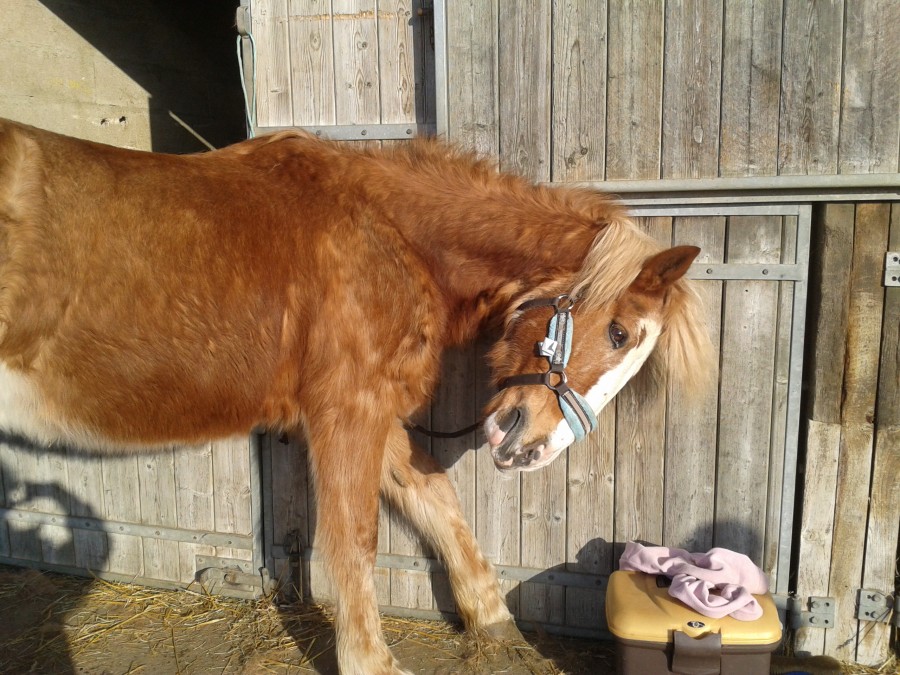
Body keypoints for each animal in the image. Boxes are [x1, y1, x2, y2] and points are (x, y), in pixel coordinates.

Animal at [0, 121, 712, 675]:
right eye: (617, 332)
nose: (530, 446)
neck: (386, 233)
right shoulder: (348, 410)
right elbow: (355, 538)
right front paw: (371, 659)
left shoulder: (377, 409)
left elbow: (435, 498)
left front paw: (491, 618)